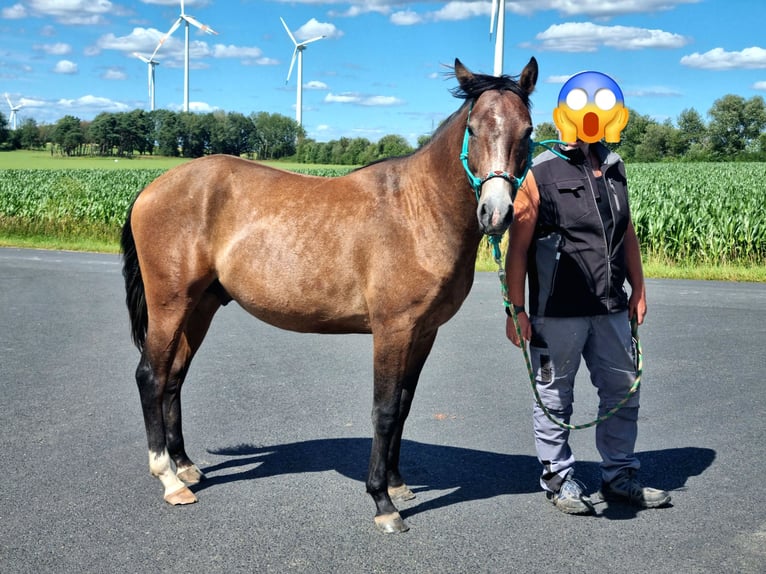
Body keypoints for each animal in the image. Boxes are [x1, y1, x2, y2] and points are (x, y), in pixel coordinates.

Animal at [121, 56, 540, 532]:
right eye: (473, 128)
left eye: (527, 131)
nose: (496, 213)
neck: (418, 210)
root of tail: (153, 188)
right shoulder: (393, 330)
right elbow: (385, 410)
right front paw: (382, 502)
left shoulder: (424, 332)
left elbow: (404, 405)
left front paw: (397, 483)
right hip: (170, 304)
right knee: (150, 376)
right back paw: (169, 479)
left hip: (200, 305)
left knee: (174, 376)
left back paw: (186, 466)